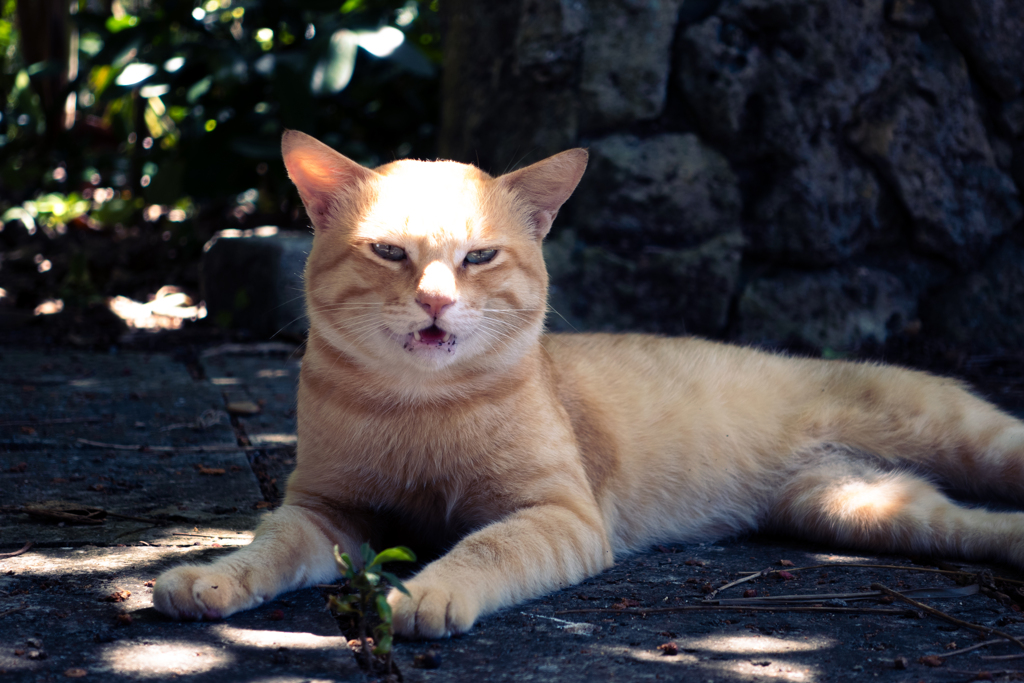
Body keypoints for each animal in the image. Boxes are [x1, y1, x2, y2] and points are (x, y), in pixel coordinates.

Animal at [149, 131, 1024, 638]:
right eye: (390, 252)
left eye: (479, 256)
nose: (434, 300)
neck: (418, 410)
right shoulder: (325, 512)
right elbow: (267, 547)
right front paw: (212, 577)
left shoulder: (559, 515)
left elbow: (485, 546)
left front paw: (430, 592)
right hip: (862, 507)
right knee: (975, 524)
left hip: (966, 440)